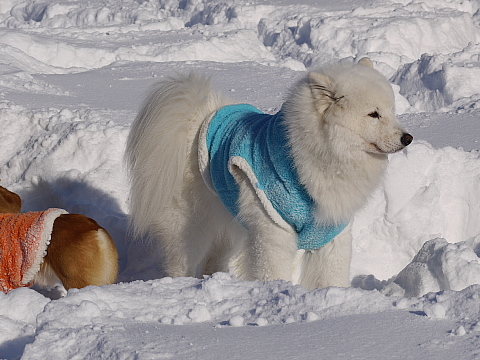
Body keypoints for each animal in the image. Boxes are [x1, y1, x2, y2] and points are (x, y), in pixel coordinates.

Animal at [126, 59, 412, 290]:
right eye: (373, 114)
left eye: (392, 111)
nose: (407, 138)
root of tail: (198, 119)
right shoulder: (274, 230)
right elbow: (272, 270)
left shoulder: (332, 234)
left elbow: (331, 275)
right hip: (190, 224)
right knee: (181, 260)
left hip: (228, 219)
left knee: (213, 259)